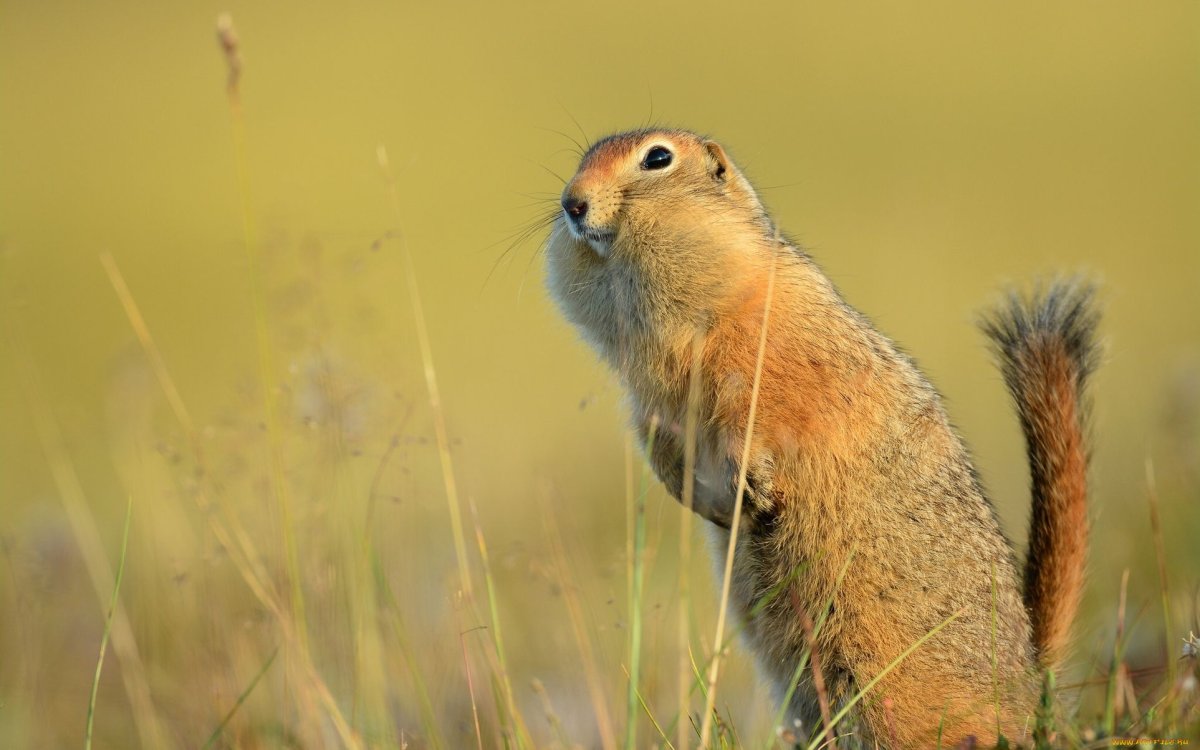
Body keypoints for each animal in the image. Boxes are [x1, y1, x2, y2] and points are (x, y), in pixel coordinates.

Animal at [544, 126, 1099, 744]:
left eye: (657, 158)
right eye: (584, 156)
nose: (571, 203)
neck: (688, 322)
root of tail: (1031, 686)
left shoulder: (760, 363)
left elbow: (759, 416)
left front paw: (752, 484)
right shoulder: (649, 403)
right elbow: (659, 444)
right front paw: (704, 500)